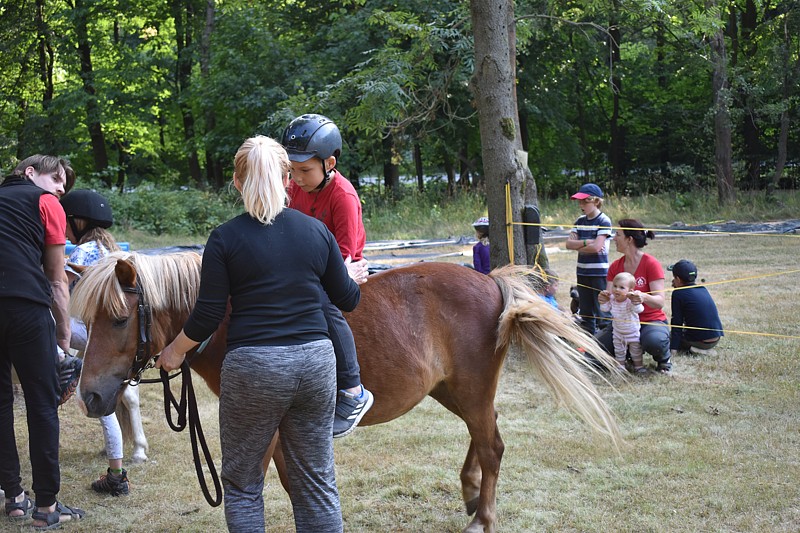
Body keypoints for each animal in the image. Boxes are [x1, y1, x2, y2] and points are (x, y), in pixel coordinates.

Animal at [72, 250, 620, 532]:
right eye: (88, 321)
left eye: (118, 319)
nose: (91, 396)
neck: (239, 317)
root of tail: (489, 281)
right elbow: (294, 484)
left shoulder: (262, 423)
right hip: (455, 391)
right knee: (483, 436)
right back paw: (468, 491)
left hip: (471, 388)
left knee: (493, 446)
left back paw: (482, 517)